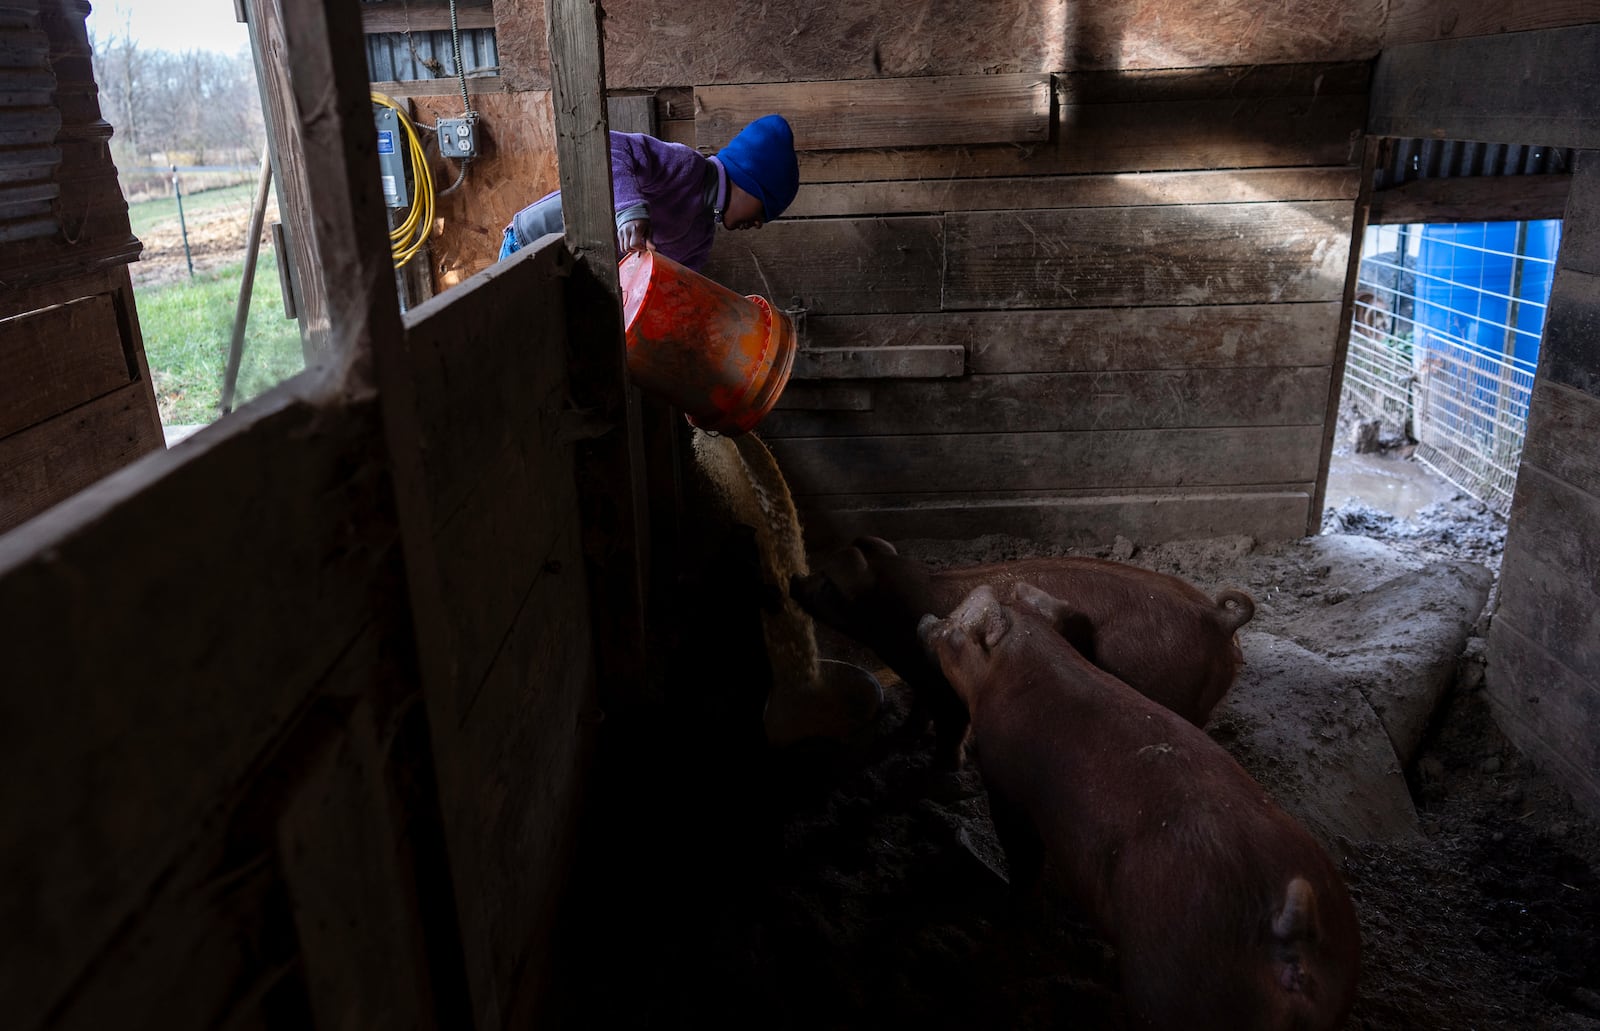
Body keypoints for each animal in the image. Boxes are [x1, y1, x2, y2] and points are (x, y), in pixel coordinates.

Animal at [793, 534, 1254, 768]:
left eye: (828, 583)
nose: (796, 580)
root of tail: (1218, 617)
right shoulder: (920, 680)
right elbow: (917, 712)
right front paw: (901, 738)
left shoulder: (946, 688)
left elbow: (950, 729)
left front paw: (945, 769)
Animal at [921, 582, 1356, 1024]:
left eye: (956, 624)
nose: (925, 619)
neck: (1017, 669)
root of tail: (1287, 932)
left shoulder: (1007, 790)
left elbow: (1022, 859)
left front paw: (1003, 917)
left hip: (1172, 983)